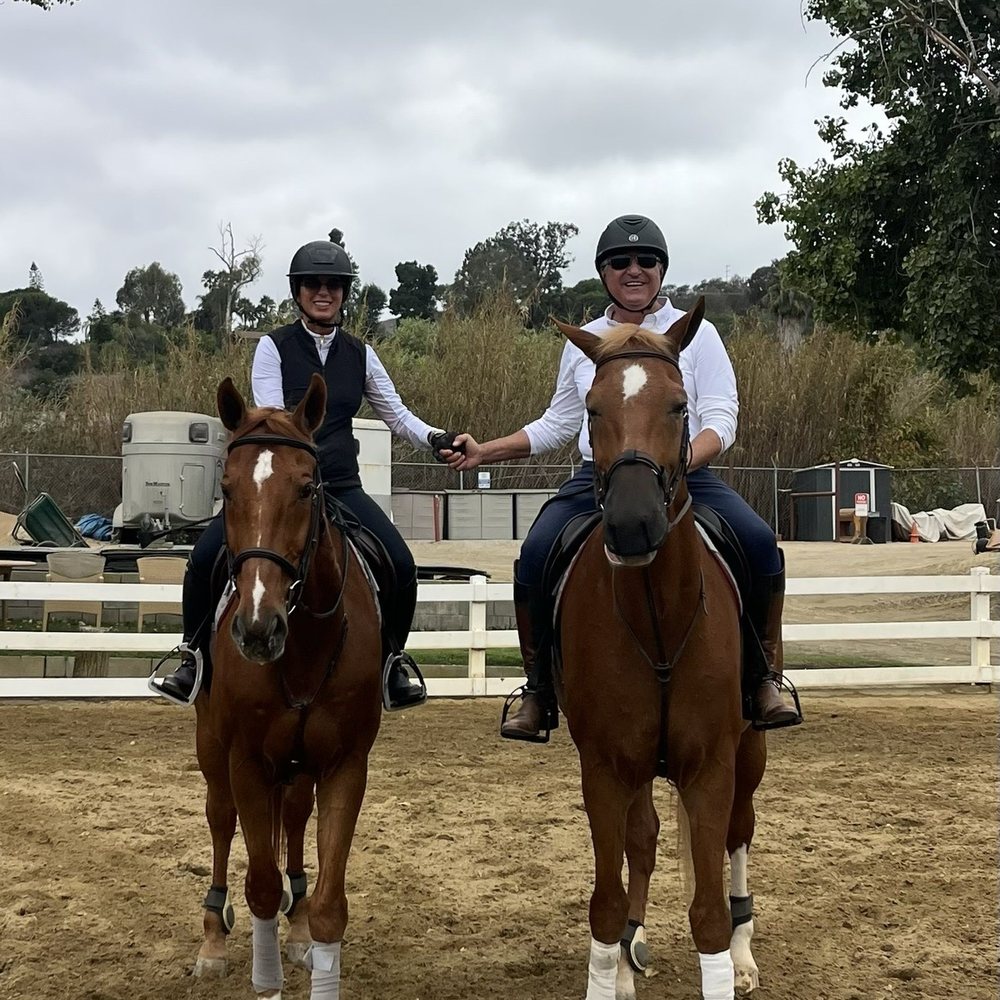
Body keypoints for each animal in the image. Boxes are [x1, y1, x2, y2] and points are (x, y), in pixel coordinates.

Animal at [191, 373, 384, 1000]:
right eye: (227, 489)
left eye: (306, 488)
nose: (257, 628)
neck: (301, 648)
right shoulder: (248, 762)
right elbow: (260, 888)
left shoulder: (346, 764)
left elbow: (329, 905)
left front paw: (308, 930)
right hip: (212, 748)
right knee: (220, 819)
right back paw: (212, 938)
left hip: (301, 767)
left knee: (296, 819)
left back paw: (295, 930)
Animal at [553, 299, 768, 1000]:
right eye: (592, 409)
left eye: (678, 405)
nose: (631, 523)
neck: (658, 617)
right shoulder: (606, 767)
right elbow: (607, 898)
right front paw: (612, 966)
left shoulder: (711, 767)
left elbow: (707, 914)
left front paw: (727, 958)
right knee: (642, 841)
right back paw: (628, 955)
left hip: (751, 751)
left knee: (740, 833)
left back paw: (744, 952)